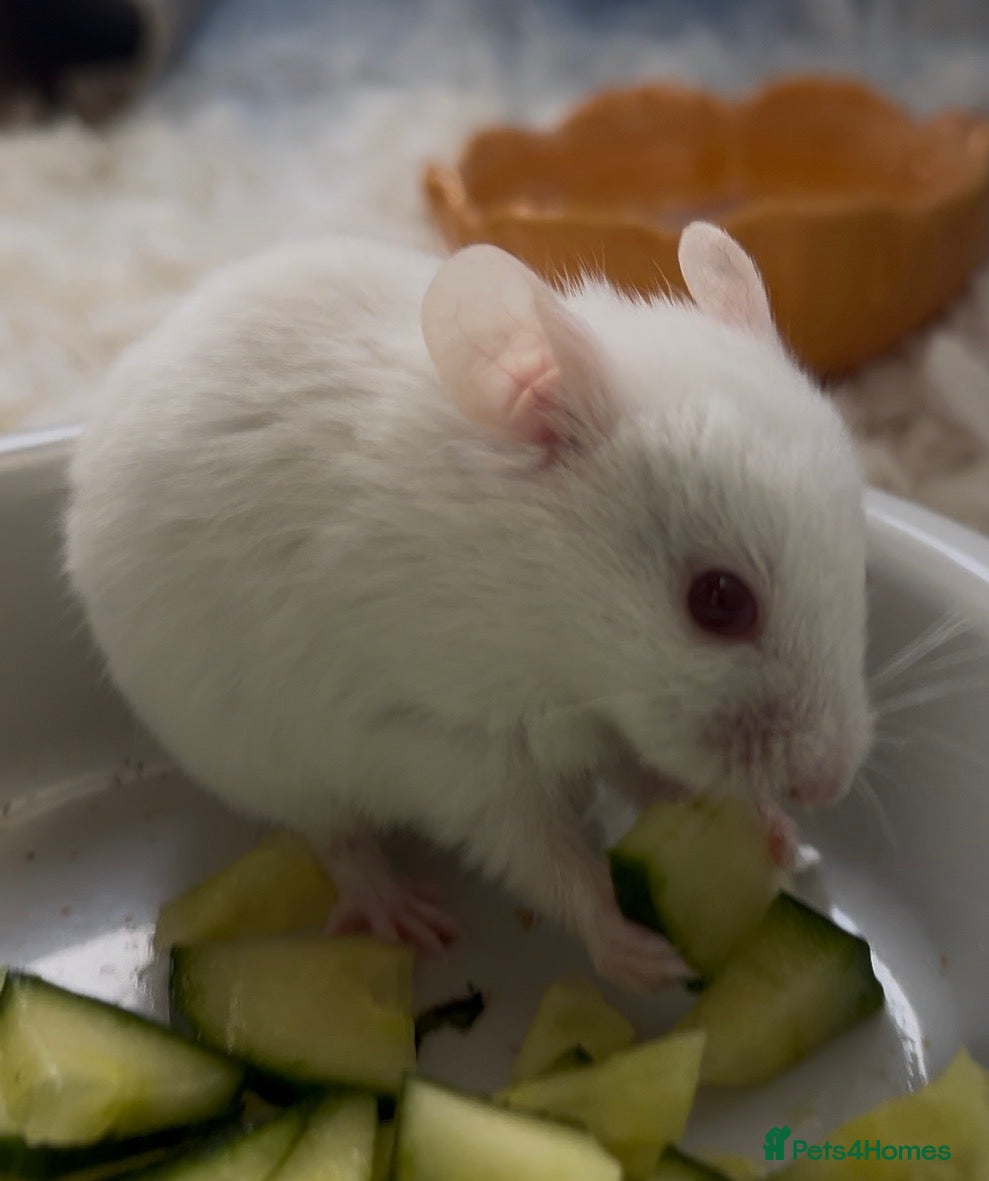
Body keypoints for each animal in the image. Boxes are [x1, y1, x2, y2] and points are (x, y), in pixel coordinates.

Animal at [64, 223, 872, 991]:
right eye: (718, 601)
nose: (828, 788)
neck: (549, 618)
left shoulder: (613, 725)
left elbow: (658, 778)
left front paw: (777, 838)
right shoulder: (454, 750)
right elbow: (542, 859)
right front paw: (641, 956)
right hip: (264, 759)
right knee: (334, 836)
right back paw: (402, 912)